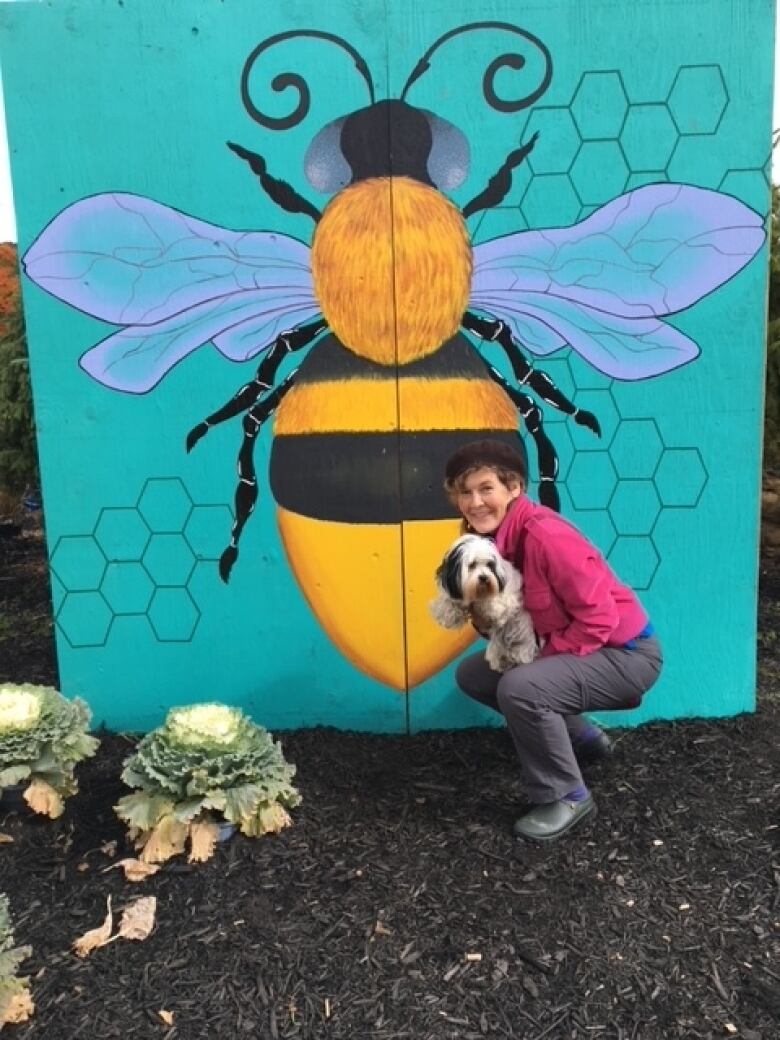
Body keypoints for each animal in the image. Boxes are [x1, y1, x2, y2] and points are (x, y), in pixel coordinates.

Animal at [430, 536, 540, 673]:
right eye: (472, 565)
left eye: (489, 565)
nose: (484, 577)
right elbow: (449, 600)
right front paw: (447, 613)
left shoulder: (508, 598)